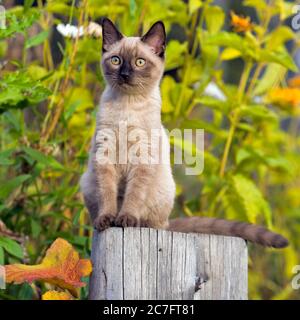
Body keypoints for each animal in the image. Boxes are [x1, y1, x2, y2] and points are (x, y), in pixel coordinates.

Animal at [79, 17, 288, 249]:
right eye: (116, 60)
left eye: (139, 62)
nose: (124, 74)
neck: (128, 106)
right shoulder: (104, 156)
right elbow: (107, 194)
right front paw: (107, 220)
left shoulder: (143, 159)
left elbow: (133, 196)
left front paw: (125, 219)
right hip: (88, 180)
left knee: (154, 224)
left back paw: (136, 223)